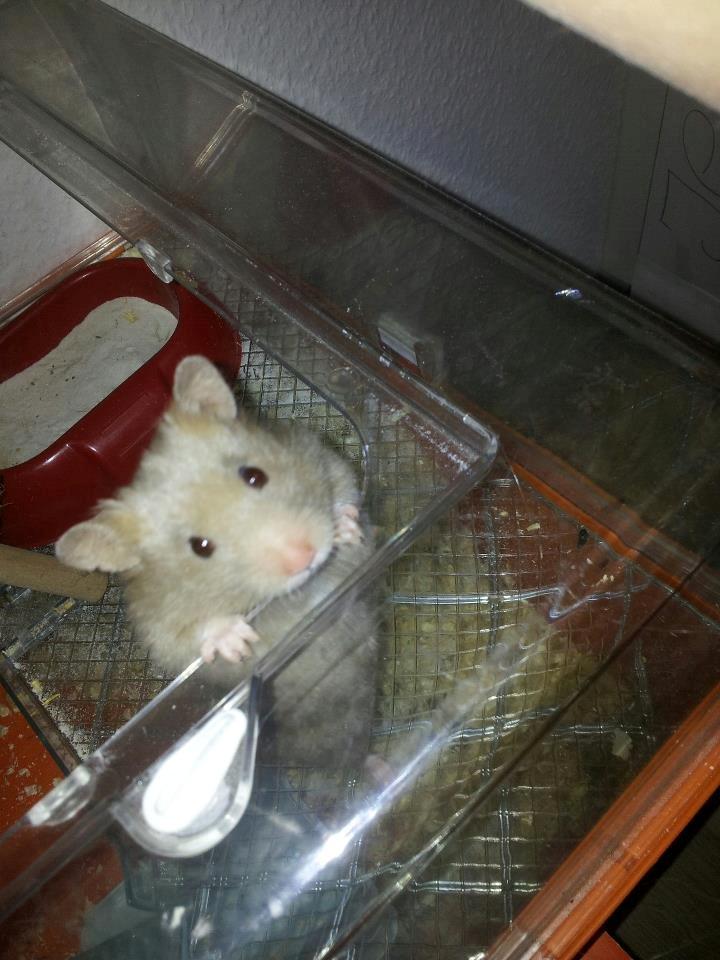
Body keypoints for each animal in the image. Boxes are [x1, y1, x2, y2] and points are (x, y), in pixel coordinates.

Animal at [56, 355, 377, 768]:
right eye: (201, 547)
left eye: (254, 476)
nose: (304, 556)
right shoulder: (158, 628)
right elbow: (185, 638)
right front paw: (238, 639)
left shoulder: (319, 454)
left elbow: (343, 485)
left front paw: (345, 529)